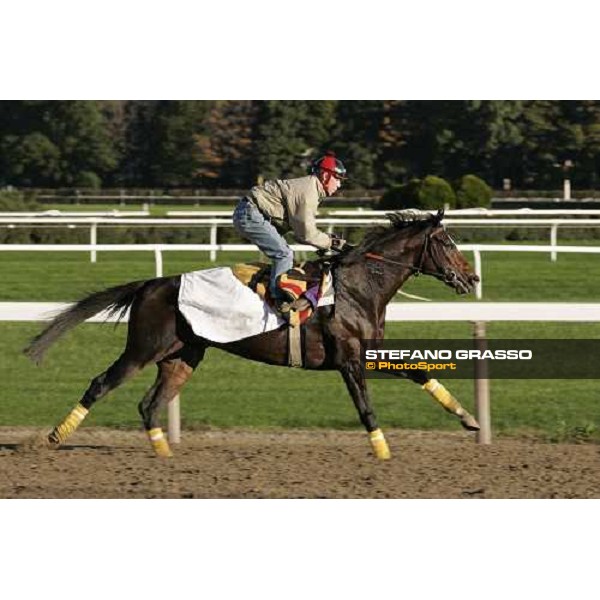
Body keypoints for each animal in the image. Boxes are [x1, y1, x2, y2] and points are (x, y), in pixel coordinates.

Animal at [25, 209, 480, 458]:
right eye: (447, 242)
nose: (472, 277)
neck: (358, 287)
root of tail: (151, 283)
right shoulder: (348, 360)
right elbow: (365, 409)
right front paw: (383, 452)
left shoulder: (369, 353)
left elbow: (420, 373)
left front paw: (469, 417)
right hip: (142, 349)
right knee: (101, 383)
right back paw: (53, 437)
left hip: (181, 356)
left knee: (149, 404)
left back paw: (165, 453)